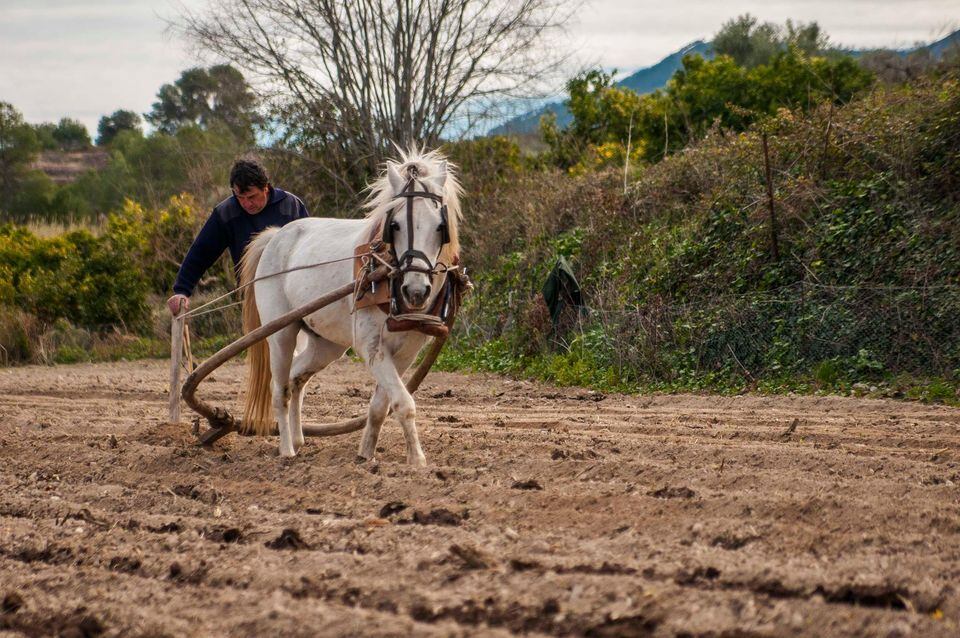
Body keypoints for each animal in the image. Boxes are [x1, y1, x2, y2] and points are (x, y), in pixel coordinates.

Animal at [242, 149, 464, 464]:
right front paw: (417, 460)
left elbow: (381, 406)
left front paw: (366, 455)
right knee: (280, 389)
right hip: (281, 333)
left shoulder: (406, 352)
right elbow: (403, 402)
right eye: (394, 226)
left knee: (297, 377)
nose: (416, 291)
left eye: (440, 227)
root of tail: (276, 236)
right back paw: (287, 450)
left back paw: (298, 438)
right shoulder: (372, 348)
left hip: (326, 344)